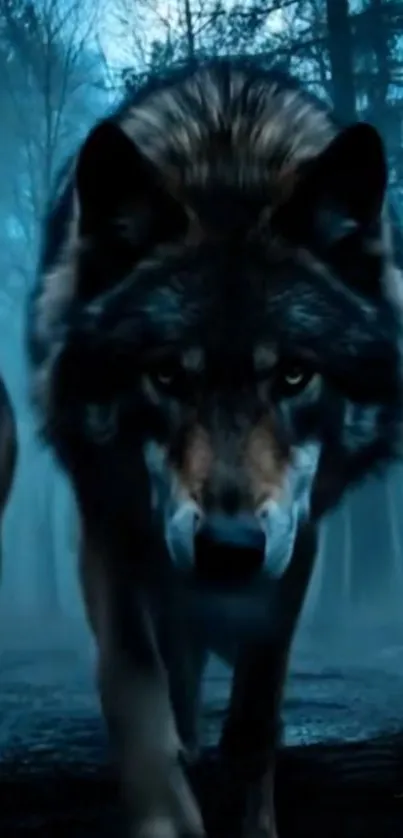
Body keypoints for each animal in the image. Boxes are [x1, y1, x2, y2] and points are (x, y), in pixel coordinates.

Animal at [27, 58, 403, 838]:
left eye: (293, 374)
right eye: (168, 374)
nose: (228, 549)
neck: (226, 164)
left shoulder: (293, 539)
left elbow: (255, 718)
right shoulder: (111, 520)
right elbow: (139, 698)